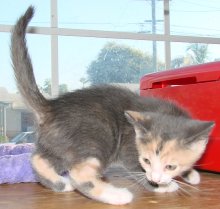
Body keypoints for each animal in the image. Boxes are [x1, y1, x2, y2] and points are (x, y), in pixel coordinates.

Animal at [11, 6, 214, 206]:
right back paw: (117, 196)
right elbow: (137, 170)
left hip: (60, 146)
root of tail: (51, 106)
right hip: (98, 137)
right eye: (146, 160)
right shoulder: (129, 150)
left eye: (170, 166)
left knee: (37, 159)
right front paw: (163, 186)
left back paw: (60, 183)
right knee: (79, 173)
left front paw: (190, 174)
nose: (156, 179)